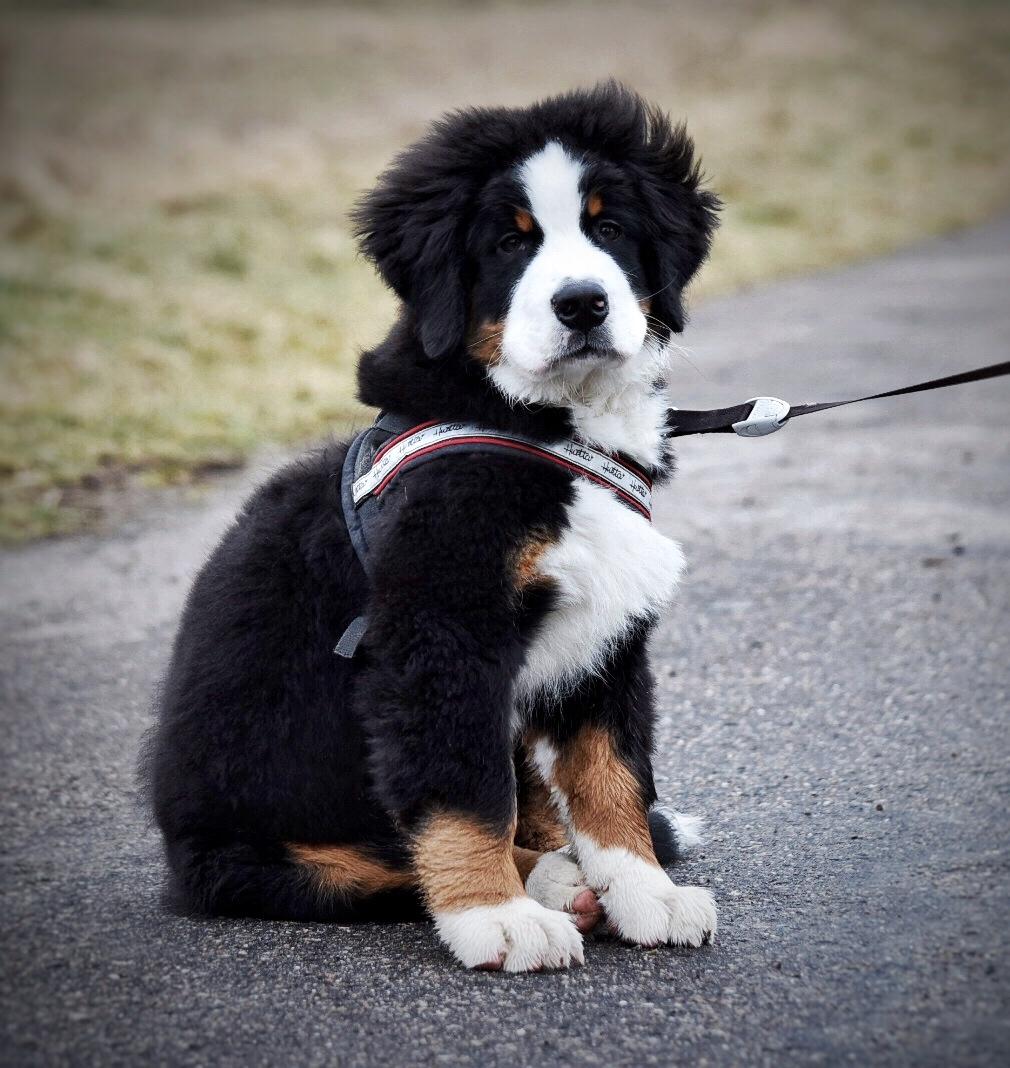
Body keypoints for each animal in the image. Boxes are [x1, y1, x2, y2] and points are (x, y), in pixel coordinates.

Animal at [147, 79, 717, 974]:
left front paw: (646, 893)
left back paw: (569, 876)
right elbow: (465, 791)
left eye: (610, 229)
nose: (582, 304)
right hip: (263, 856)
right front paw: (496, 916)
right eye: (510, 244)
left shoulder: (607, 641)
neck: (541, 426)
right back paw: (545, 888)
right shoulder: (443, 635)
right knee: (384, 862)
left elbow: (612, 776)